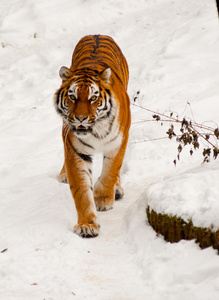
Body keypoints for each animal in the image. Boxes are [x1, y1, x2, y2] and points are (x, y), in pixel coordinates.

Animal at [54, 34, 131, 237]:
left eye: (93, 98)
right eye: (72, 97)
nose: (80, 118)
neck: (96, 130)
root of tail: (97, 34)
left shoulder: (118, 142)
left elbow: (110, 172)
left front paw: (102, 199)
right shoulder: (75, 151)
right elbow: (81, 190)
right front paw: (87, 225)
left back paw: (116, 190)